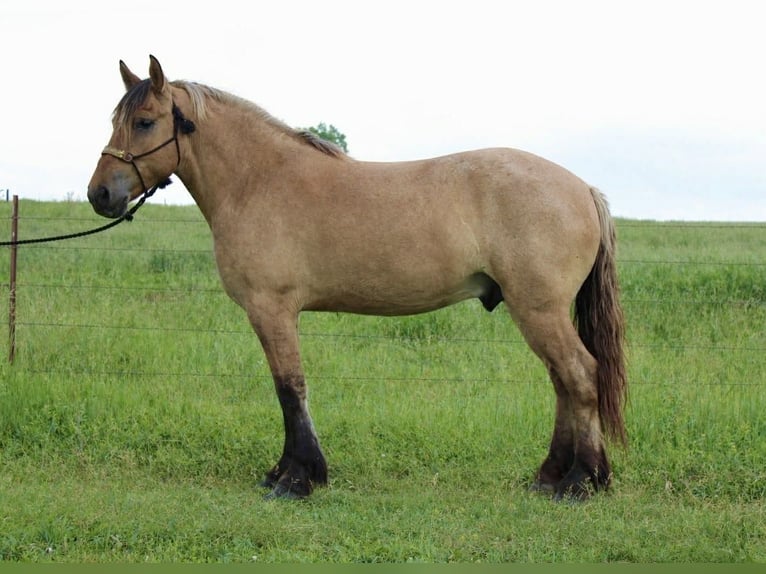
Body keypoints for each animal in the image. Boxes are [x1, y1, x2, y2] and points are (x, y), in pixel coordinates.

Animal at [87, 56, 627, 501]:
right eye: (115, 121)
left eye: (145, 122)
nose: (100, 194)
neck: (259, 180)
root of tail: (583, 188)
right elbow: (290, 389)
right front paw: (288, 472)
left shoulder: (272, 309)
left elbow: (290, 388)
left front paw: (296, 479)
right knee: (563, 382)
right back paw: (551, 476)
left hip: (538, 309)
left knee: (579, 376)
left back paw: (580, 482)